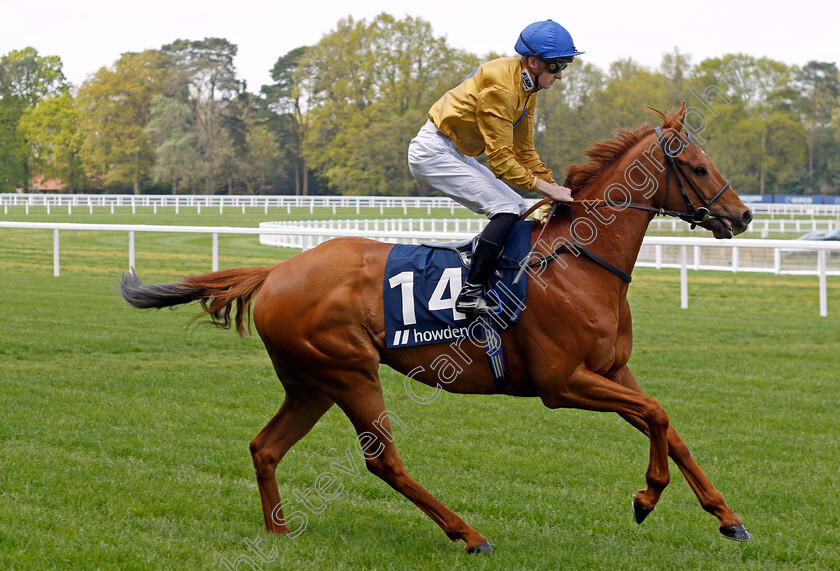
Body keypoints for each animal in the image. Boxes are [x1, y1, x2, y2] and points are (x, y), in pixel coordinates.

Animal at [120, 104, 756, 556]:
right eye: (698, 167)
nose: (744, 214)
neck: (577, 263)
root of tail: (276, 270)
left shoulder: (610, 370)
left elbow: (666, 424)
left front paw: (728, 519)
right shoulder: (561, 383)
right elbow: (656, 415)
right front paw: (647, 496)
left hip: (310, 384)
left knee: (265, 446)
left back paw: (278, 534)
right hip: (349, 372)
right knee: (384, 462)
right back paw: (468, 534)